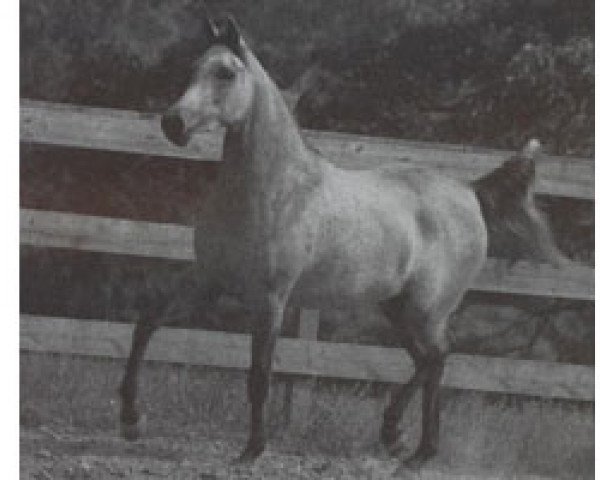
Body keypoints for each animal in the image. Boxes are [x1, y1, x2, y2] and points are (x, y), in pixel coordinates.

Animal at [118, 12, 568, 468]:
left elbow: (259, 374)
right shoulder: (211, 280)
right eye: (192, 69)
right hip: (397, 307)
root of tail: (469, 191)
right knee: (427, 360)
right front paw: (131, 420)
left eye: (225, 72)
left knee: (439, 356)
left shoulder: (271, 298)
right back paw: (401, 442)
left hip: (426, 308)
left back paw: (412, 447)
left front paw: (251, 450)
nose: (173, 123)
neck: (274, 190)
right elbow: (147, 322)